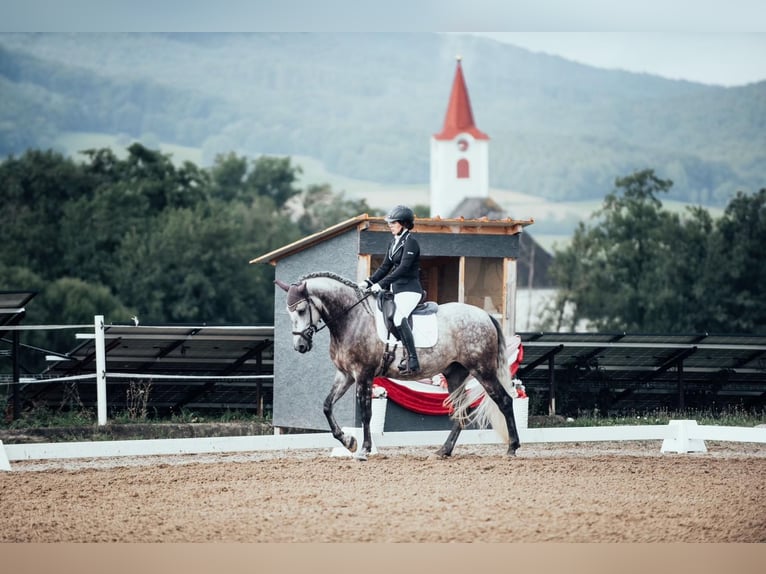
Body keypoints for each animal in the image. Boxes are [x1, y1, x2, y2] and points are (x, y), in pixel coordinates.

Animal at [276, 272, 520, 464]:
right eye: (288, 312)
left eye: (300, 310)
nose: (300, 346)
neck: (351, 318)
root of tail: (484, 315)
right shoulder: (345, 375)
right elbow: (327, 406)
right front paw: (348, 441)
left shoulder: (363, 375)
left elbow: (366, 413)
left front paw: (363, 450)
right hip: (455, 374)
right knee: (462, 412)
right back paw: (443, 451)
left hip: (482, 370)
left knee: (505, 401)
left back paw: (512, 448)